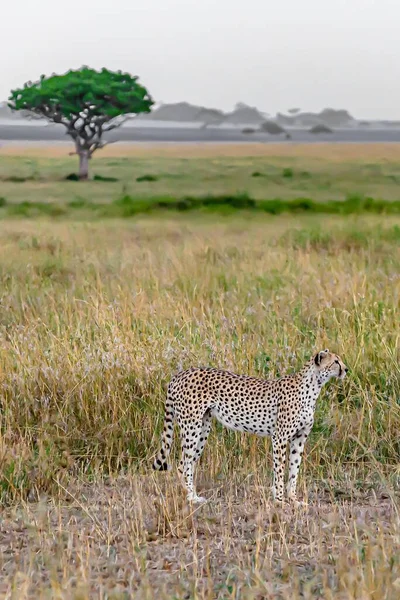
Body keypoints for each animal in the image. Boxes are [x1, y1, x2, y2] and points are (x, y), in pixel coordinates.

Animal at [153, 350, 346, 504]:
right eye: (336, 361)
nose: (347, 369)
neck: (313, 386)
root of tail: (181, 373)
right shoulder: (280, 437)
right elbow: (279, 470)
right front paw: (279, 500)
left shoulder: (299, 438)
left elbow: (294, 470)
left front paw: (293, 499)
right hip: (191, 426)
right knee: (182, 464)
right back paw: (191, 497)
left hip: (203, 427)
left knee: (189, 462)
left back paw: (192, 494)